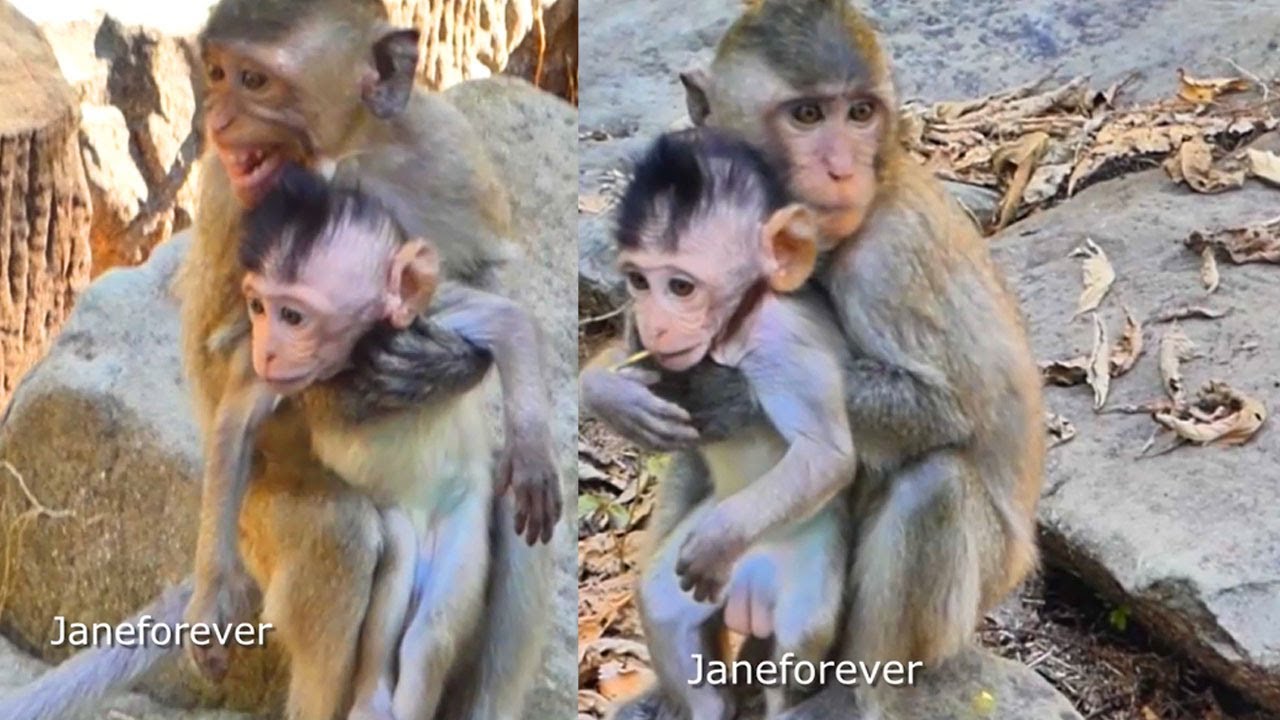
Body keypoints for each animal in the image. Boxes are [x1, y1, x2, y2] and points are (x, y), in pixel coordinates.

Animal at [185, 164, 558, 720]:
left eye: (292, 316)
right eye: (258, 307)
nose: (268, 350)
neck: (352, 355)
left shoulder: (428, 312)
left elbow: (508, 321)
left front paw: (531, 452)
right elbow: (234, 422)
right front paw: (211, 599)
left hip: (461, 523)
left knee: (433, 632)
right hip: (354, 526)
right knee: (367, 546)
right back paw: (370, 695)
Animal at [593, 128, 857, 720]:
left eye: (681, 288)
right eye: (639, 281)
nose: (656, 324)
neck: (732, 332)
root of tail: (748, 591)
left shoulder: (785, 344)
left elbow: (826, 455)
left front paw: (720, 538)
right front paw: (614, 396)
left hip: (809, 571)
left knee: (800, 646)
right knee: (664, 607)